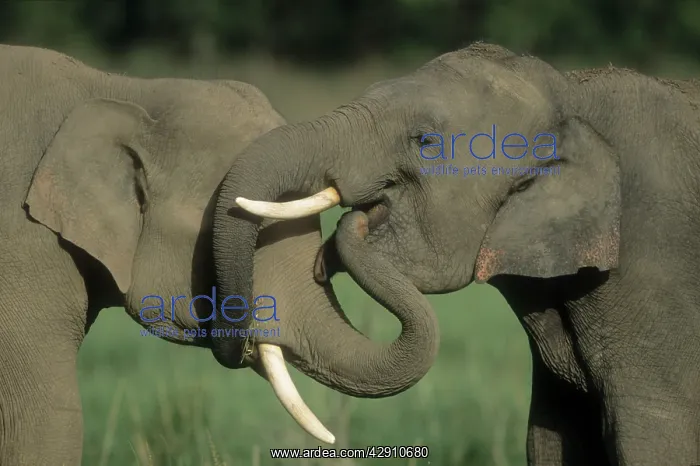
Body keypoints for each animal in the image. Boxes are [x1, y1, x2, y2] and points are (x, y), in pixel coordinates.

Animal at [215, 41, 700, 466]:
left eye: (424, 141)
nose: (356, 220)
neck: (570, 95)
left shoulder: (656, 278)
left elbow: (654, 439)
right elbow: (550, 439)